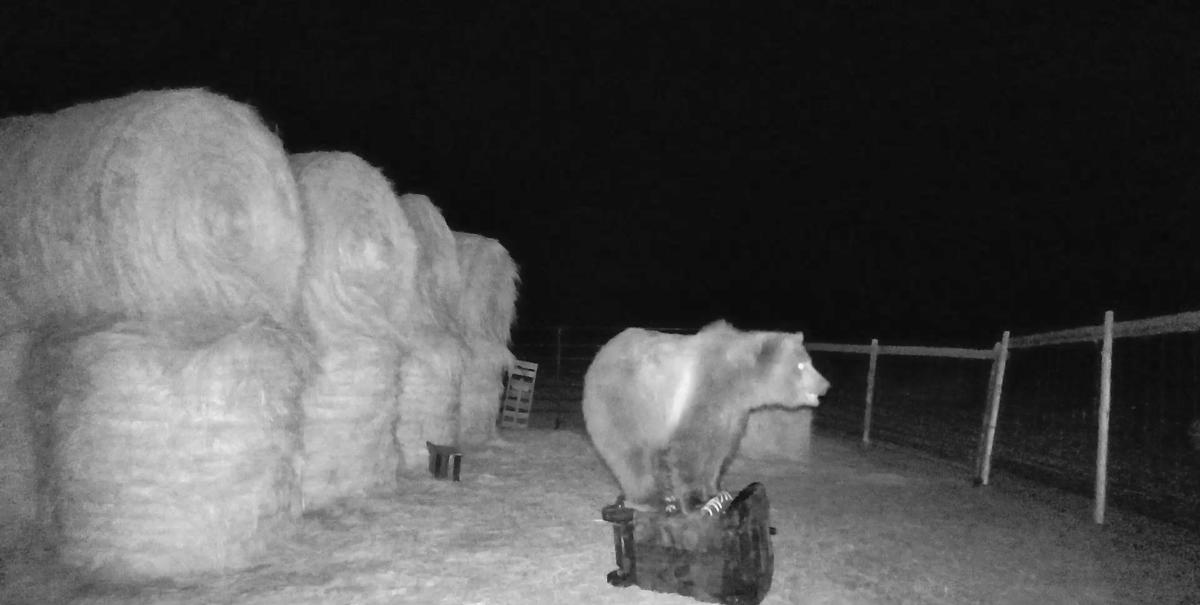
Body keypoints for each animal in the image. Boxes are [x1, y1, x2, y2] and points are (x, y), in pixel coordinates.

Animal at [582, 320, 830, 513]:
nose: (825, 384)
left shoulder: (731, 413)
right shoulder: (705, 392)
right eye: (801, 365)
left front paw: (714, 491)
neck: (740, 383)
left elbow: (717, 451)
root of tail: (601, 353)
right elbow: (690, 448)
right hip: (624, 402)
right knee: (630, 455)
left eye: (809, 362)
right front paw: (695, 502)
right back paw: (648, 498)